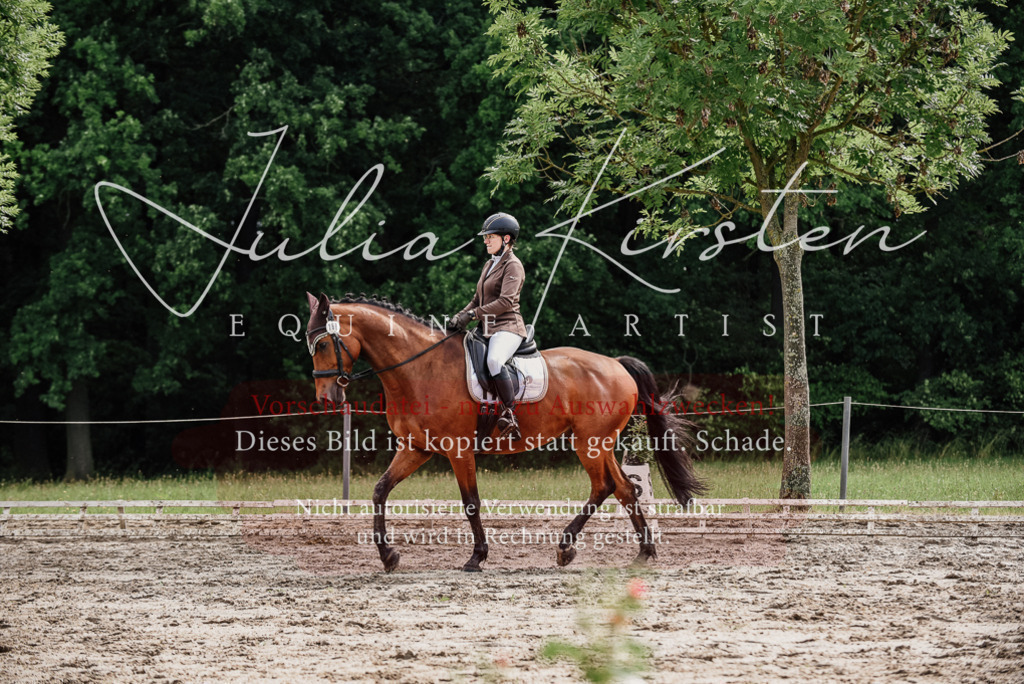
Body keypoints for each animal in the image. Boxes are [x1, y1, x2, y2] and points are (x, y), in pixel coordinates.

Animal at [305, 291, 706, 572]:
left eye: (322, 343)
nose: (325, 397)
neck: (419, 368)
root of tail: (616, 363)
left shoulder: (458, 449)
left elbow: (470, 502)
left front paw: (476, 558)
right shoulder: (416, 448)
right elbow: (379, 491)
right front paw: (388, 556)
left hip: (589, 442)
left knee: (605, 486)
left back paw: (567, 547)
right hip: (599, 443)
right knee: (623, 489)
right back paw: (642, 553)